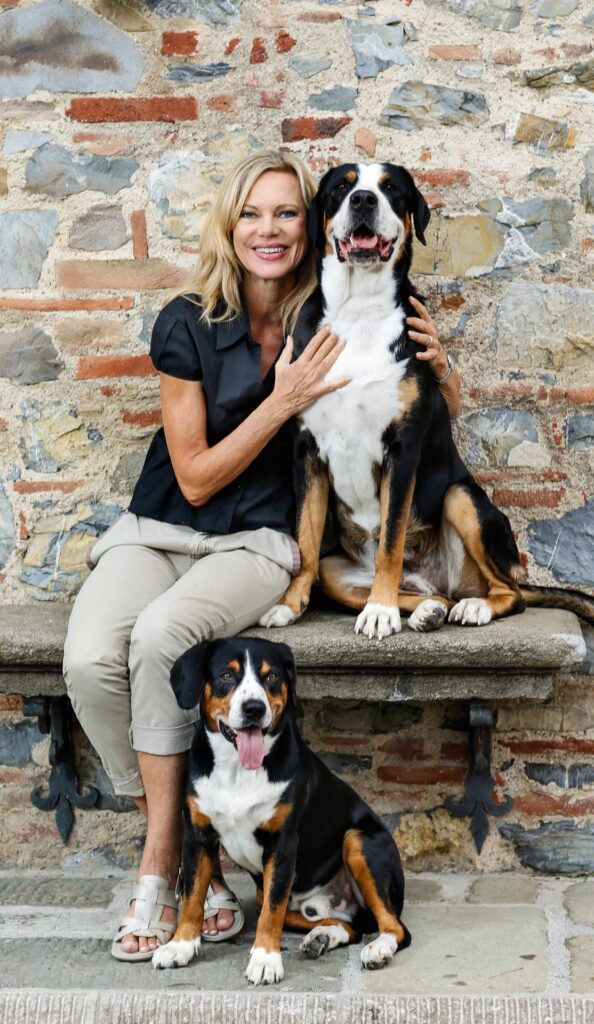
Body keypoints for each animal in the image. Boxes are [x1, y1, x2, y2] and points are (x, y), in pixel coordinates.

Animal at [152, 636, 411, 985]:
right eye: (226, 675)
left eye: (271, 676)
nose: (254, 708)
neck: (237, 770)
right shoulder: (198, 836)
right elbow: (193, 897)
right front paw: (180, 946)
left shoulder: (283, 843)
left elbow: (271, 913)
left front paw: (265, 959)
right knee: (351, 926)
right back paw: (322, 937)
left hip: (358, 839)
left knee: (395, 927)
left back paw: (378, 948)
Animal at [259, 162, 594, 639]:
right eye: (342, 187)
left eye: (390, 188)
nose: (364, 200)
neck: (360, 311)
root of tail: (439, 580)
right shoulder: (306, 449)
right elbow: (305, 542)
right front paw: (289, 606)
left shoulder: (403, 448)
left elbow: (391, 539)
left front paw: (379, 611)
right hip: (337, 574)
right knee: (427, 593)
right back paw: (426, 610)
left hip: (461, 497)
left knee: (508, 591)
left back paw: (473, 607)